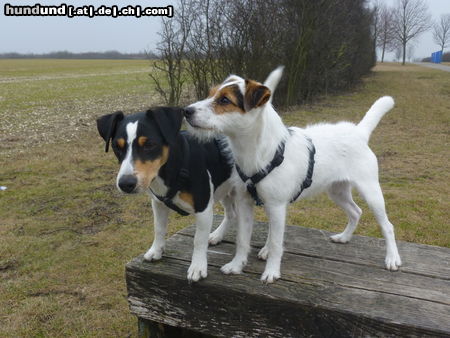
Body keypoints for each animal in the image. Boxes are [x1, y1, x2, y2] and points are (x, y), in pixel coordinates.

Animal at [96, 107, 239, 282]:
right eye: (117, 147)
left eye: (149, 144)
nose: (125, 184)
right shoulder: (158, 203)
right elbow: (158, 228)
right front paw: (156, 251)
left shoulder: (203, 207)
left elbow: (199, 240)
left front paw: (197, 267)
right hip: (226, 189)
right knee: (231, 214)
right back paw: (217, 235)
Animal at [185, 66, 402, 282]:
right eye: (210, 94)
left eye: (224, 100)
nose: (186, 111)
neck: (259, 152)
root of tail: (358, 132)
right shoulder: (245, 203)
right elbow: (242, 239)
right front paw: (237, 265)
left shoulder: (277, 206)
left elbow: (276, 244)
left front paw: (272, 272)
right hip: (337, 191)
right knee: (356, 212)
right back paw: (344, 237)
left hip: (371, 191)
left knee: (387, 226)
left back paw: (392, 258)